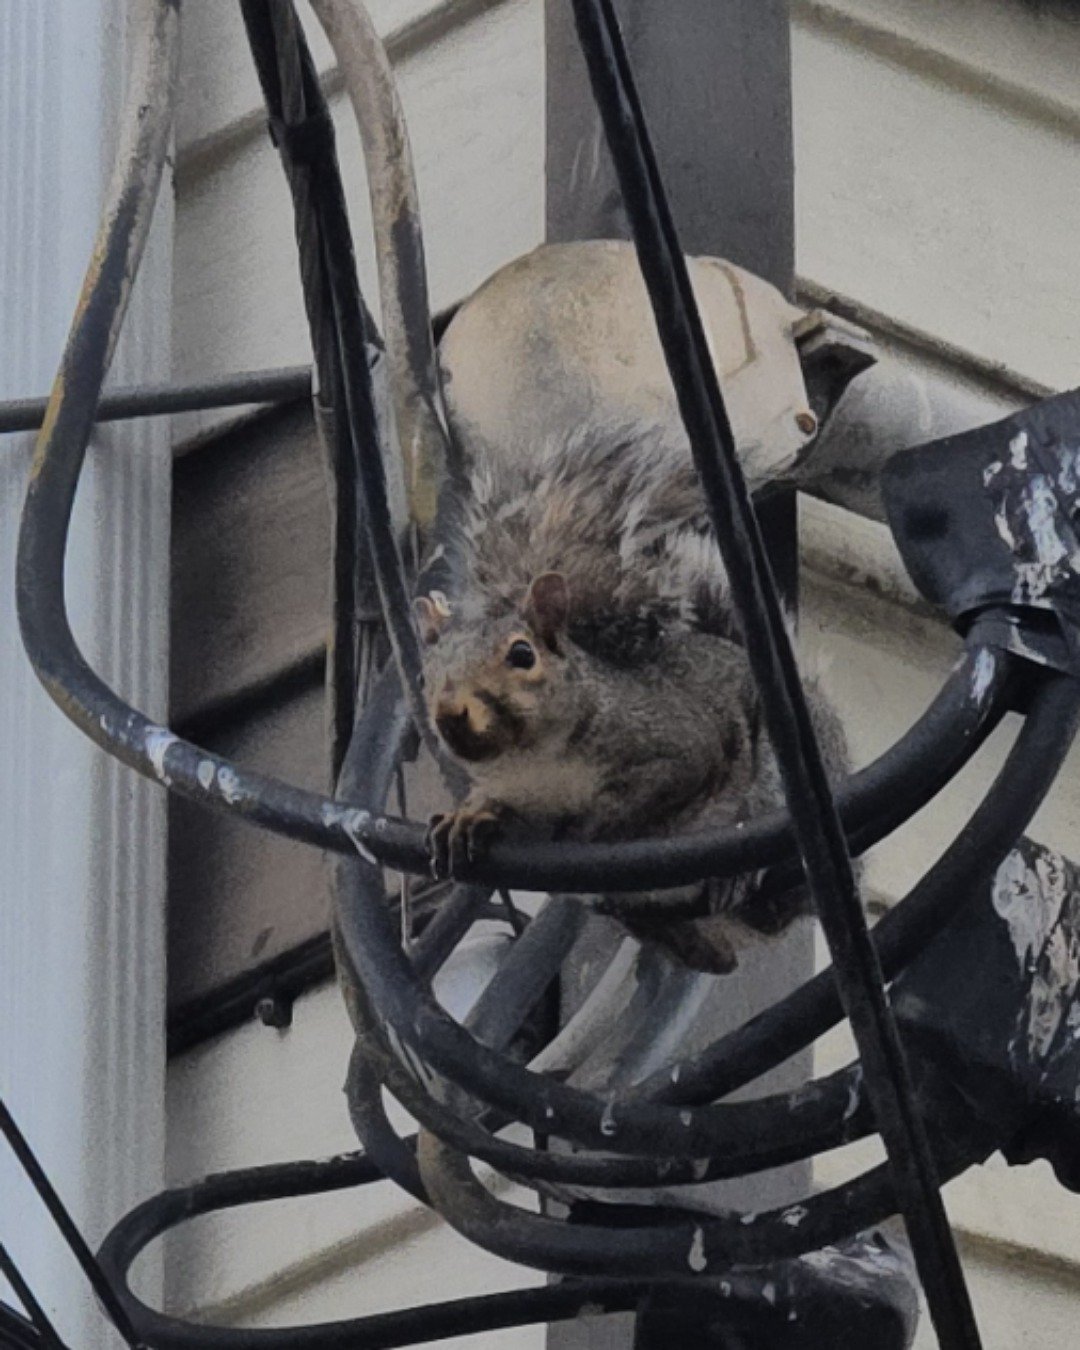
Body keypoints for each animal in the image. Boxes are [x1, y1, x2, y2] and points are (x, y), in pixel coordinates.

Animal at [415, 421, 849, 974]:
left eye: (522, 654)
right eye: (426, 675)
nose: (451, 713)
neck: (534, 763)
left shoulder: (674, 746)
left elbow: (652, 792)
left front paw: (589, 832)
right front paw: (469, 815)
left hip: (780, 775)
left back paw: (741, 881)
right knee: (715, 956)